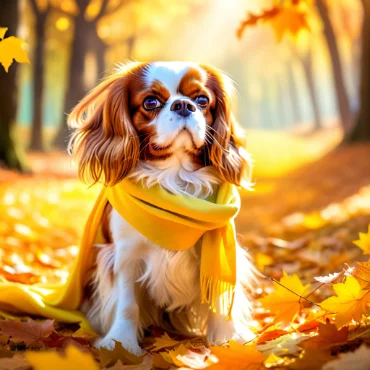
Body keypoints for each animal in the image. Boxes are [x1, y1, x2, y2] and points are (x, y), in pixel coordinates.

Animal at [67, 60, 258, 352]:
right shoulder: (125, 254)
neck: (174, 177)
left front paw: (228, 340)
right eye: (151, 102)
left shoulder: (216, 255)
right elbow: (127, 304)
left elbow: (219, 297)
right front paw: (120, 343)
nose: (183, 105)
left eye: (202, 100)